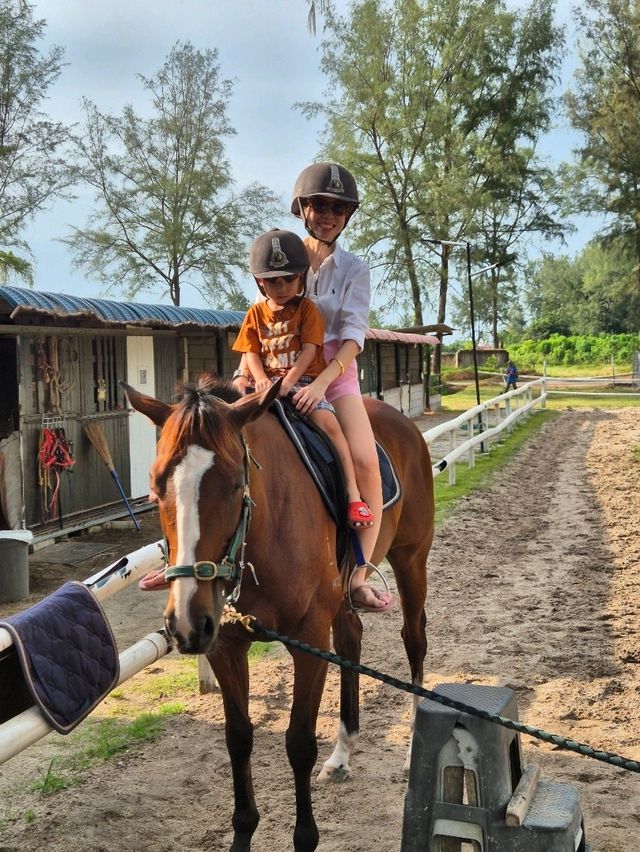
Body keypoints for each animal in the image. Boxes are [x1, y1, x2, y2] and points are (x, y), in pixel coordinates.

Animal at [124, 378, 436, 852]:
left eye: (236, 483)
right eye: (156, 485)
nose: (187, 624)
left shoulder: (309, 642)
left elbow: (299, 742)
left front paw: (305, 837)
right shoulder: (226, 646)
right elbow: (238, 738)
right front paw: (242, 833)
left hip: (411, 559)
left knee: (414, 639)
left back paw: (413, 747)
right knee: (352, 638)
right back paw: (342, 752)